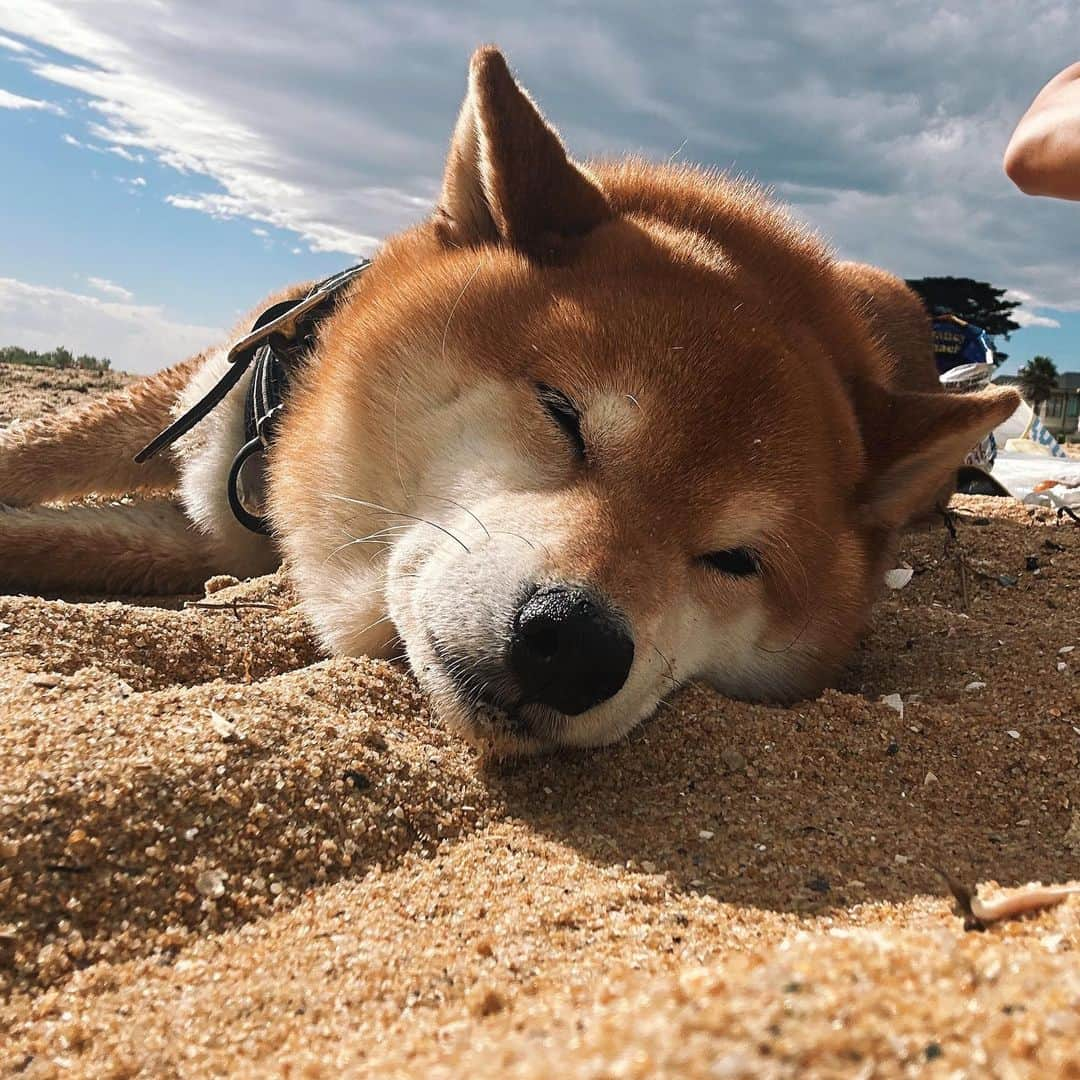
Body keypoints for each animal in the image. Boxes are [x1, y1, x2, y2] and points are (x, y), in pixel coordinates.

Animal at [0, 48, 1015, 751]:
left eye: (735, 560)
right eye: (563, 416)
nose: (575, 644)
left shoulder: (216, 542)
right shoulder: (204, 418)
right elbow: (34, 463)